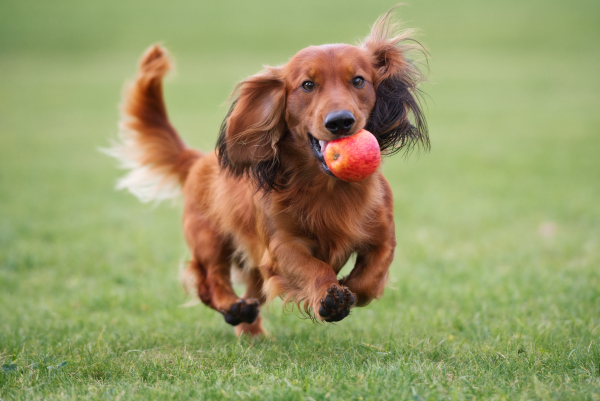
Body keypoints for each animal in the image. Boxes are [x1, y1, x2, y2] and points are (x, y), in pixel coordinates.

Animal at [106, 10, 426, 334]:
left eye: (359, 80)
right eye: (307, 85)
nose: (340, 122)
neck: (328, 188)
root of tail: (197, 159)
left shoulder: (383, 237)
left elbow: (369, 280)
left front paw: (348, 287)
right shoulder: (281, 246)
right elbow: (314, 267)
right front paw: (329, 296)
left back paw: (251, 328)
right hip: (209, 238)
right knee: (209, 280)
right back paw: (232, 307)